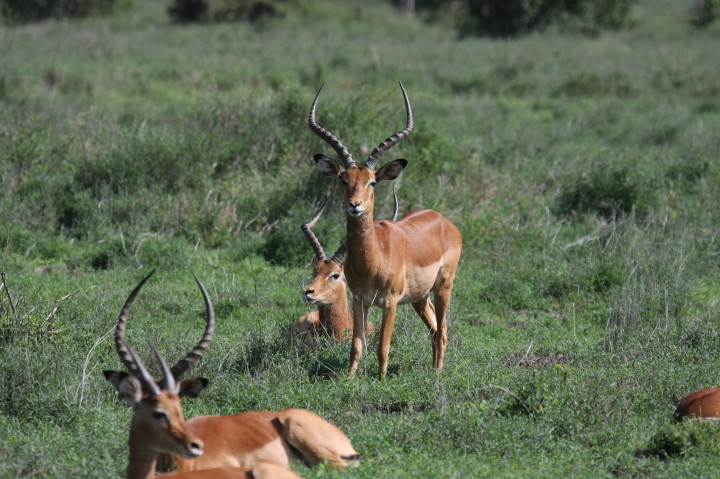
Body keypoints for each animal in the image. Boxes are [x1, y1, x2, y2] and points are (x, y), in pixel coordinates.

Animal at [307, 83, 463, 379]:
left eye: (372, 182)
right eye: (344, 180)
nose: (355, 205)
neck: (374, 258)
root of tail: (442, 220)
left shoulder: (390, 302)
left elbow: (382, 346)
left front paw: (380, 381)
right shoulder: (360, 300)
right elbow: (356, 346)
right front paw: (349, 380)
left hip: (443, 288)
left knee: (442, 331)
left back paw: (437, 375)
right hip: (420, 297)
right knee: (435, 329)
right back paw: (432, 370)